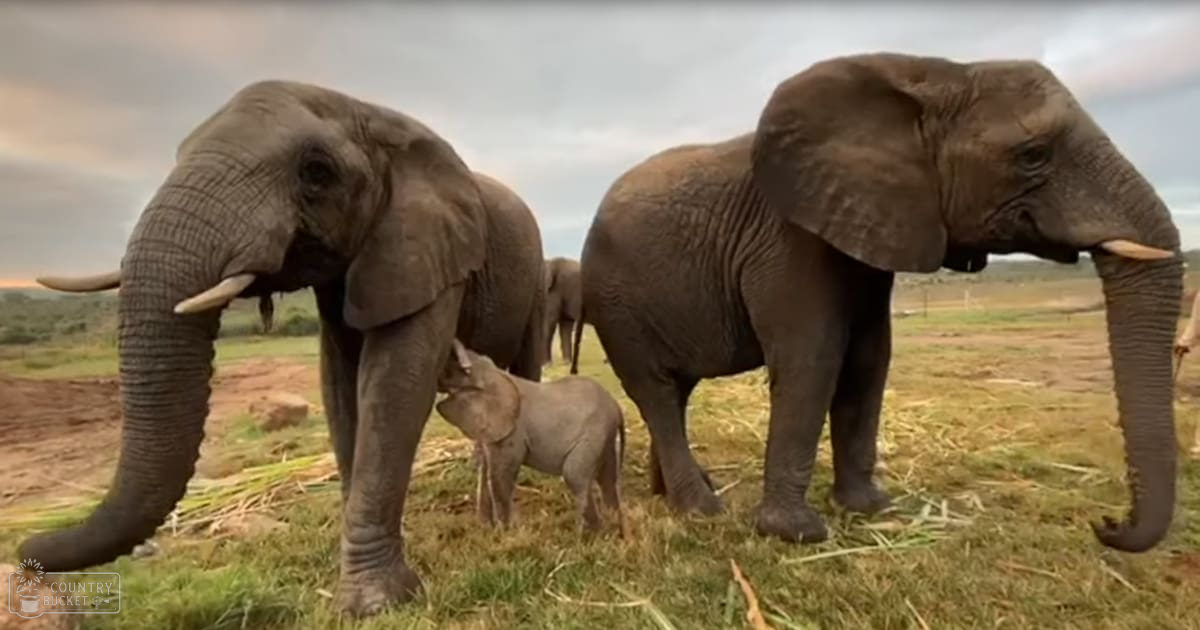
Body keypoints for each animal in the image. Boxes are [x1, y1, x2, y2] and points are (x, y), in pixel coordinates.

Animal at [22, 80, 548, 618]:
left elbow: (394, 388)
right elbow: (340, 386)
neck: (369, 111)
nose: (28, 549)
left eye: (316, 172)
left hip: (536, 277)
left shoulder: (427, 254)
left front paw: (375, 603)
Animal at [436, 339, 626, 534]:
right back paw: (614, 527)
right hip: (604, 436)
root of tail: (616, 407)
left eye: (459, 372)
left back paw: (587, 535)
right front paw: (487, 529)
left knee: (575, 474)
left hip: (593, 433)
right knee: (607, 479)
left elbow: (500, 476)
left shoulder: (513, 431)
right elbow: (485, 471)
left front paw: (505, 533)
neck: (496, 375)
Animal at [574, 52, 1183, 552]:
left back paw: (680, 495)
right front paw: (797, 534)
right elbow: (814, 360)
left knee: (676, 393)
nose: (1106, 523)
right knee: (656, 391)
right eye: (1032, 155)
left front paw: (869, 508)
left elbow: (868, 361)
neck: (934, 76)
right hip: (614, 299)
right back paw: (701, 509)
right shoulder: (790, 239)